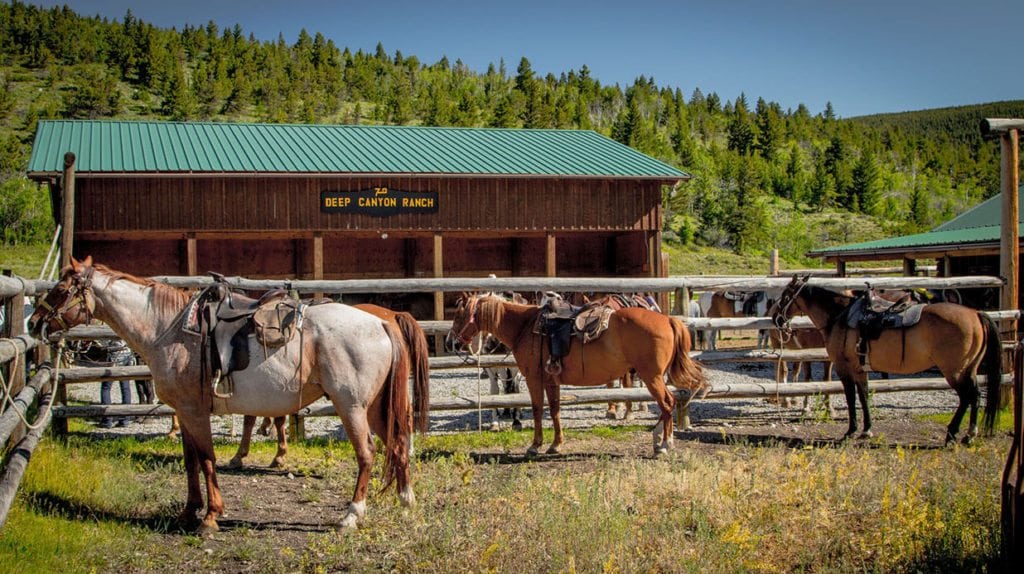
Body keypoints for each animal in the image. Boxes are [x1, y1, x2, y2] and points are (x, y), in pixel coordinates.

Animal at [448, 292, 704, 454]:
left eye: (459, 315)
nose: (452, 342)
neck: (525, 327)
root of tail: (669, 320)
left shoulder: (534, 378)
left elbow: (538, 410)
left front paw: (535, 446)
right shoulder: (551, 380)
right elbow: (555, 410)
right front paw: (556, 445)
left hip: (651, 377)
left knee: (667, 403)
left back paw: (665, 445)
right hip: (654, 377)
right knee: (667, 404)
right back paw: (658, 439)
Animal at [770, 272, 999, 444]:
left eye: (785, 296)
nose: (775, 318)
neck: (839, 315)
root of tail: (976, 314)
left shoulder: (845, 368)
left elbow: (851, 397)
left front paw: (851, 431)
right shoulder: (860, 369)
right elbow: (864, 396)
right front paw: (867, 430)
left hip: (954, 370)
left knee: (967, 396)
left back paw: (953, 434)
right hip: (969, 368)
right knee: (975, 395)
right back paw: (969, 435)